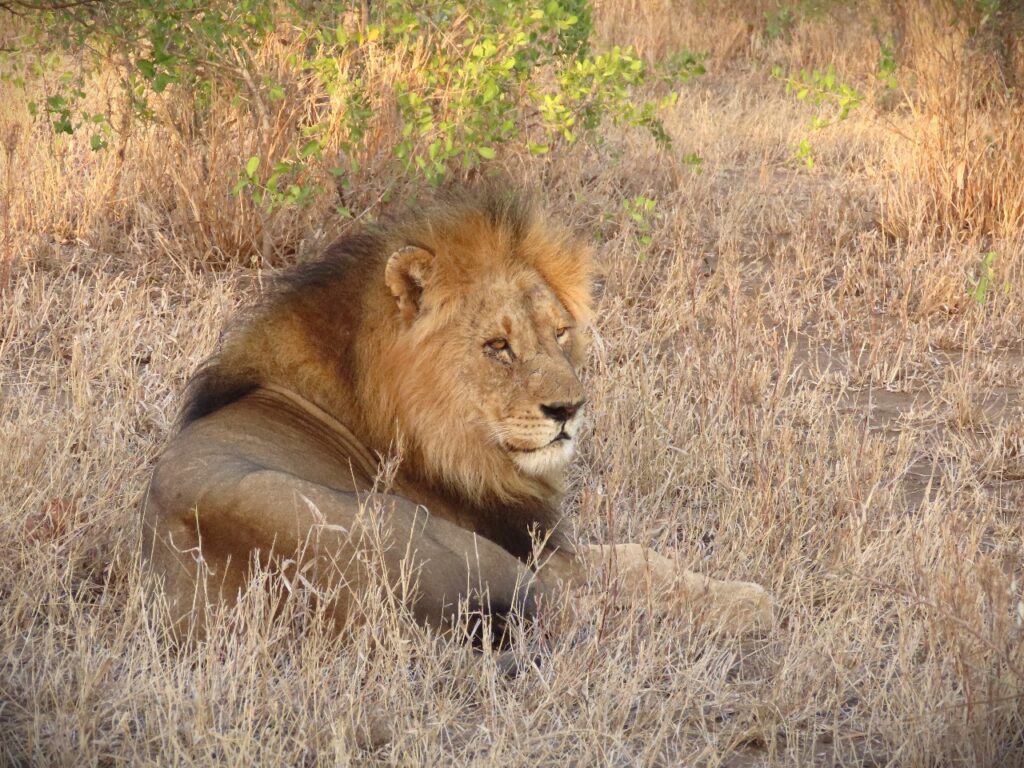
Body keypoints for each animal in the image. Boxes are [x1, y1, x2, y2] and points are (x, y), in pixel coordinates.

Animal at [141, 186, 772, 648]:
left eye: (559, 333)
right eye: (497, 346)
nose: (569, 409)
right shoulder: (538, 550)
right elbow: (634, 562)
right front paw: (745, 599)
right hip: (457, 548)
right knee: (587, 605)